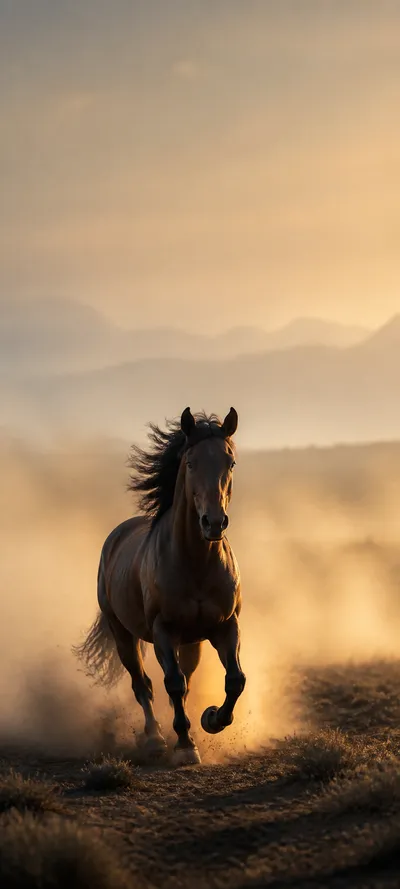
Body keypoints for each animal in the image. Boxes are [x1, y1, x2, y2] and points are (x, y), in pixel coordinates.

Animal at [74, 407, 246, 765]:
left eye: (231, 463)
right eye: (191, 462)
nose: (214, 523)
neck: (196, 563)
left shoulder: (226, 626)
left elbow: (235, 680)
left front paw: (211, 719)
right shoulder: (163, 630)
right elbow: (173, 683)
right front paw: (184, 745)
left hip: (192, 642)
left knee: (184, 679)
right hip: (123, 634)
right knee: (143, 684)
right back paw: (154, 738)